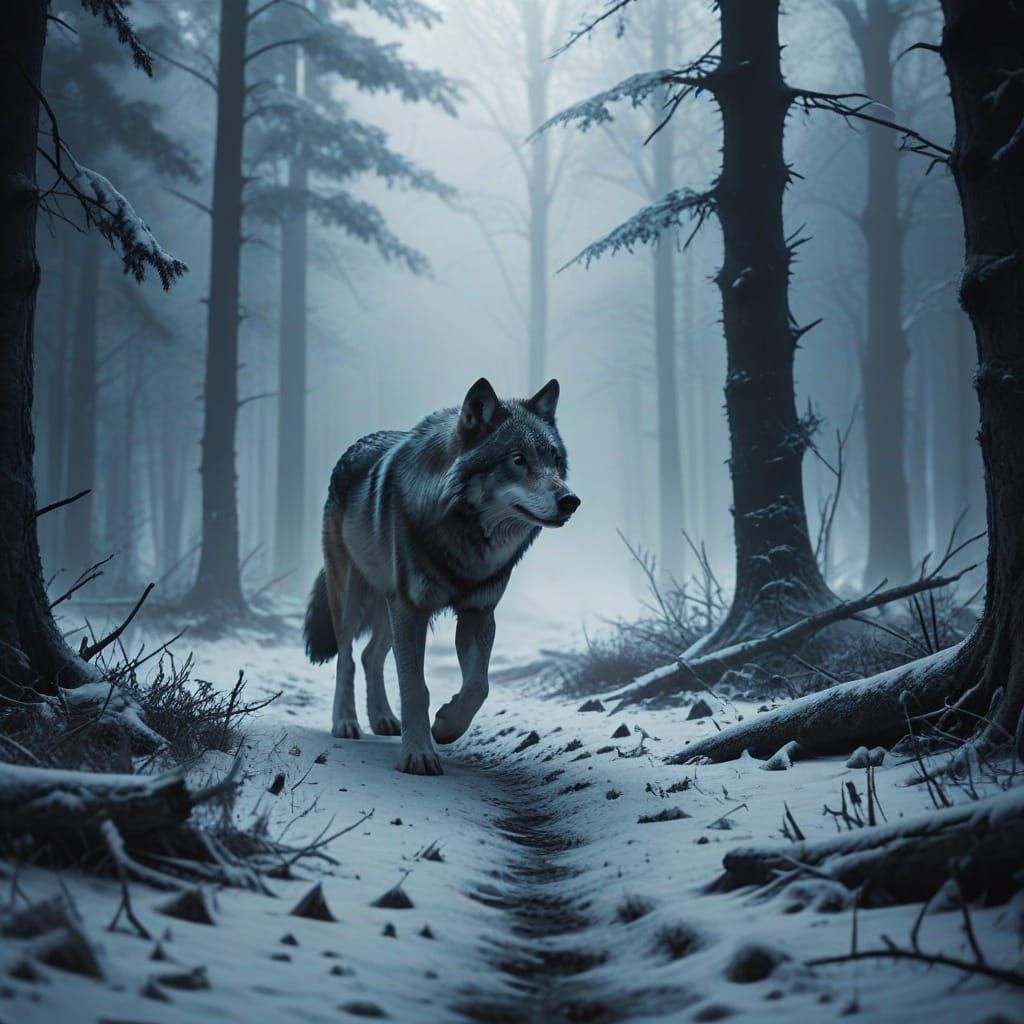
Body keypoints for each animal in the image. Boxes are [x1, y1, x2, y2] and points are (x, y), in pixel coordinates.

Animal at [303, 377, 579, 775]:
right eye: (518, 459)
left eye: (555, 460)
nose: (571, 500)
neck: (465, 540)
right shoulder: (411, 609)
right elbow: (415, 688)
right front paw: (419, 755)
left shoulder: (478, 612)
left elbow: (479, 686)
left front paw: (447, 725)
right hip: (353, 598)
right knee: (348, 658)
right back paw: (345, 722)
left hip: (387, 606)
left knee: (371, 655)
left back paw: (383, 719)